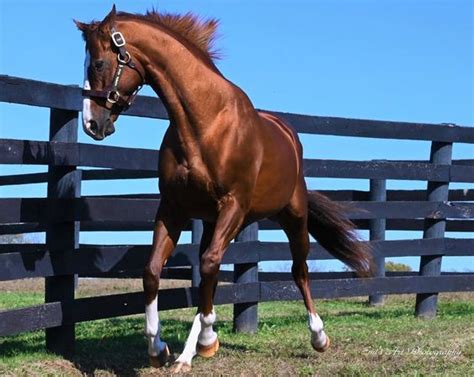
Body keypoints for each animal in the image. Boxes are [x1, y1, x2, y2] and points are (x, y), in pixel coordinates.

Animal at [76, 7, 372, 372]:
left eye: (98, 63)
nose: (92, 124)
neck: (205, 123)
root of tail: (288, 134)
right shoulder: (173, 208)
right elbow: (154, 270)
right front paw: (160, 348)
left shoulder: (232, 205)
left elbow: (208, 267)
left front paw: (200, 343)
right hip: (218, 222)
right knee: (211, 271)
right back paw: (193, 350)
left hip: (291, 216)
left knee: (298, 270)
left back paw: (318, 336)